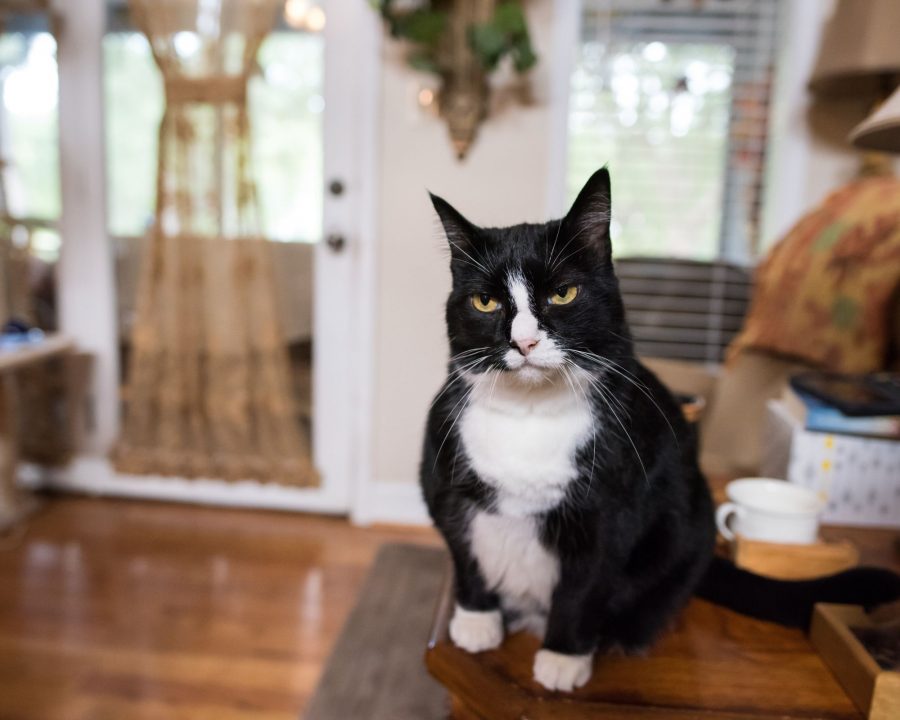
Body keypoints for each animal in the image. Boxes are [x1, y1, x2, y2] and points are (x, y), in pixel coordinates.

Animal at [420, 167, 900, 692]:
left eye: (563, 293)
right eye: (485, 301)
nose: (524, 342)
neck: (529, 414)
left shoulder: (612, 509)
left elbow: (584, 585)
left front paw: (564, 657)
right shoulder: (442, 482)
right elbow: (464, 552)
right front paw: (476, 621)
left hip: (687, 525)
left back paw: (620, 634)